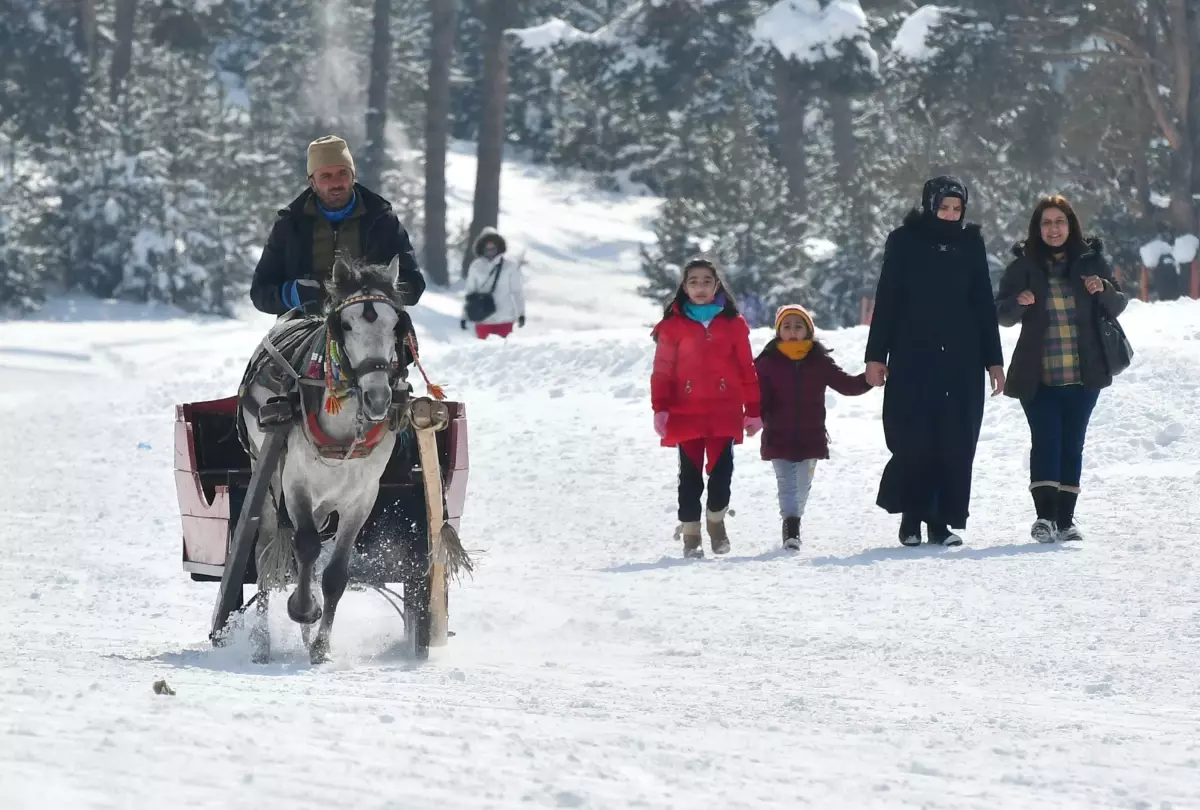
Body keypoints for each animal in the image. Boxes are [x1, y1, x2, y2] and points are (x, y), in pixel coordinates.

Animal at [234, 255, 463, 667]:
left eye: (395, 324)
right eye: (346, 324)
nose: (377, 397)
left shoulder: (361, 497)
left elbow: (335, 574)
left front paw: (320, 644)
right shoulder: (296, 484)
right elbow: (306, 546)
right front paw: (303, 610)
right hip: (268, 479)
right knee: (267, 553)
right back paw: (262, 641)